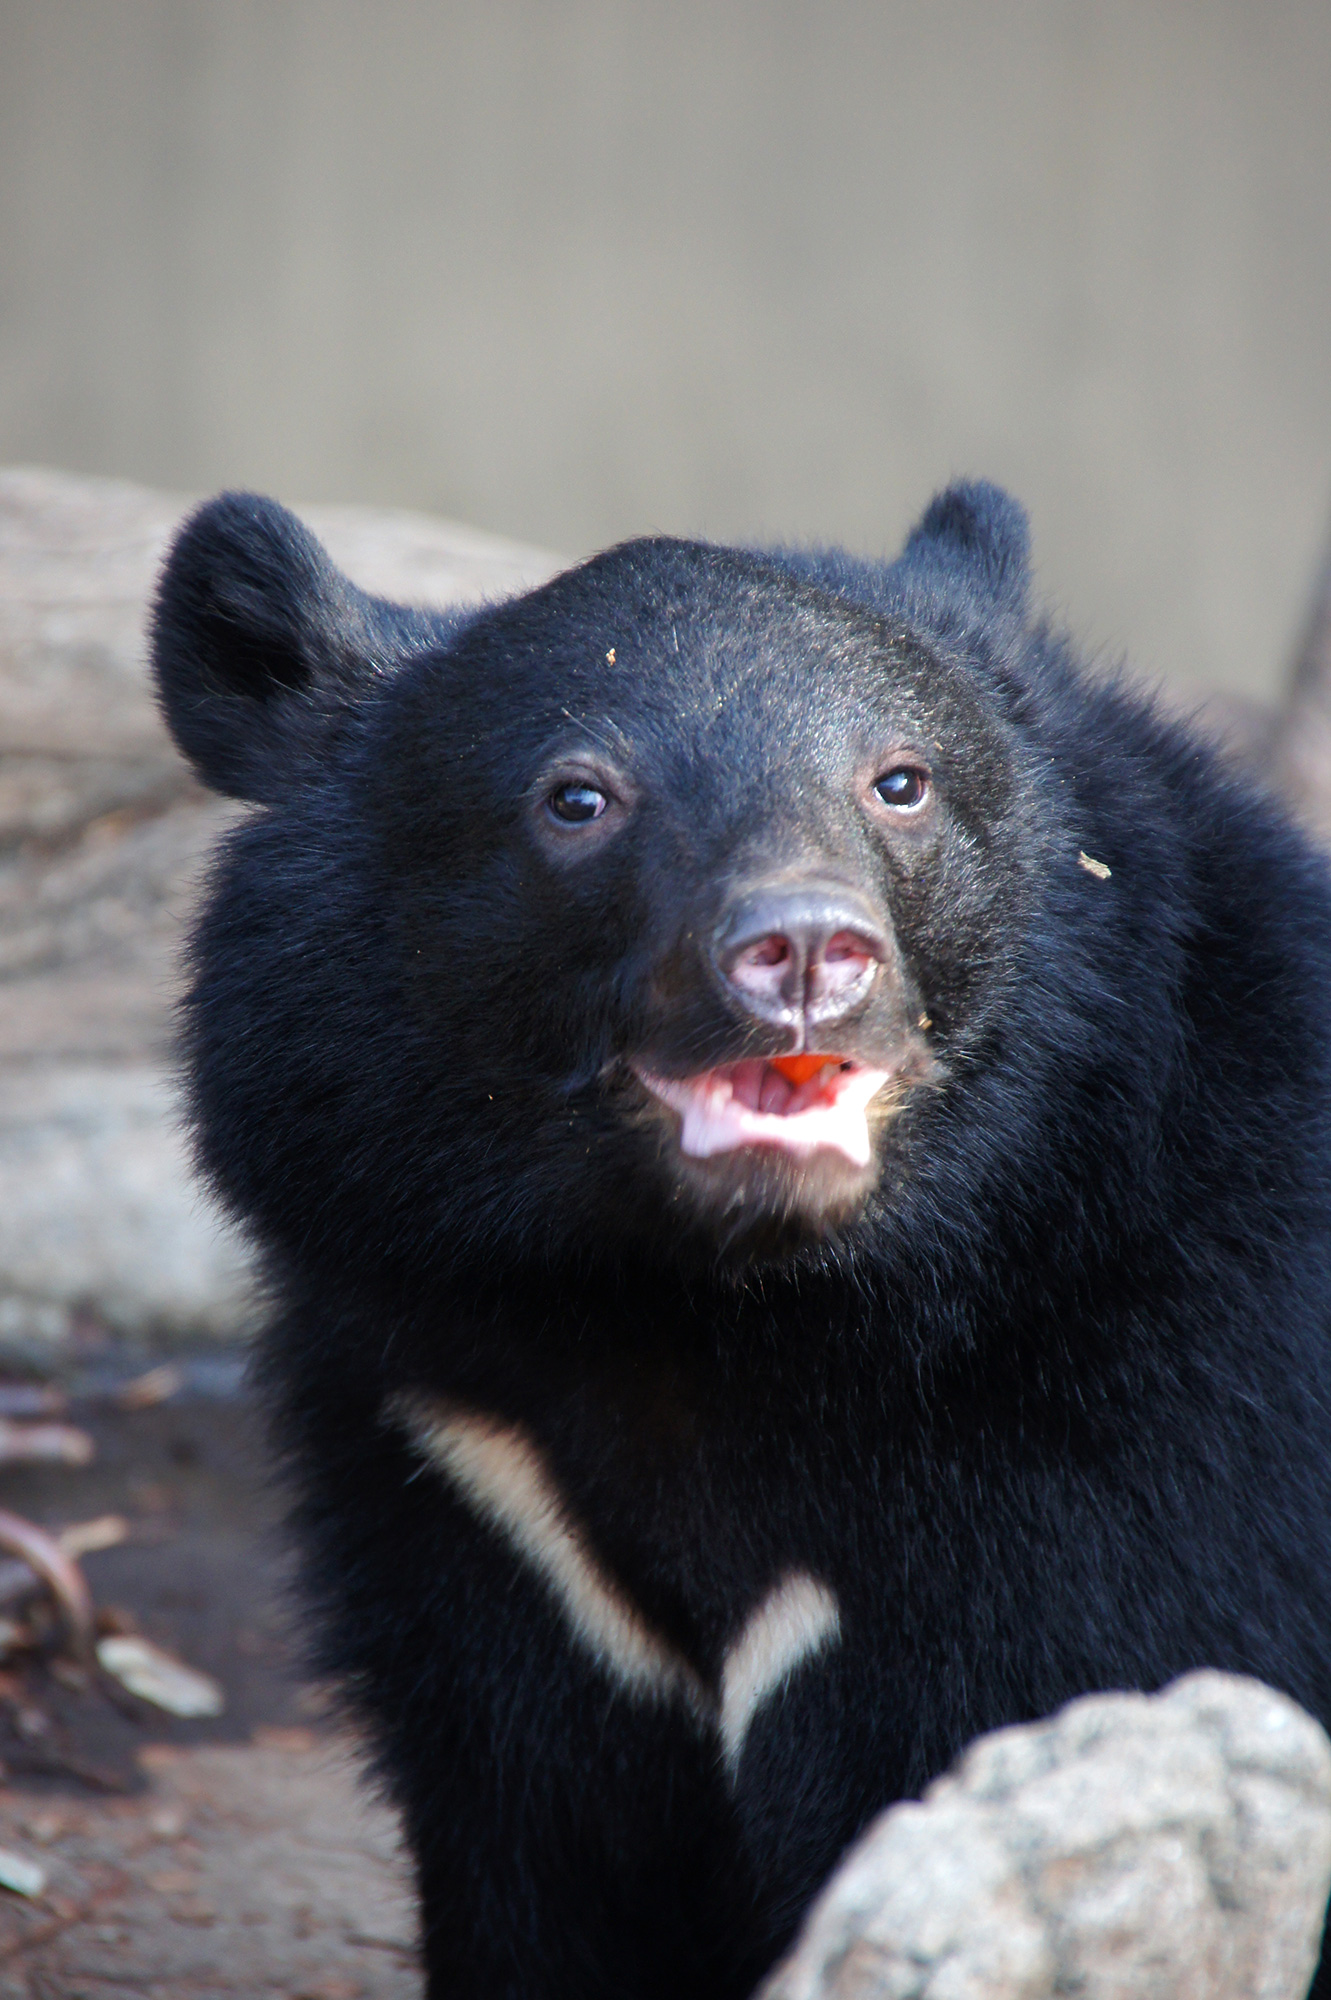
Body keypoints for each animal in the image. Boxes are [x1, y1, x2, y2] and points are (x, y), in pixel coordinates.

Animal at [149, 488, 1327, 2000]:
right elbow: (532, 1858)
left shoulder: (1147, 1466)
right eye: (577, 799)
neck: (721, 1313)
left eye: (899, 782)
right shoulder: (472, 1487)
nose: (804, 948)